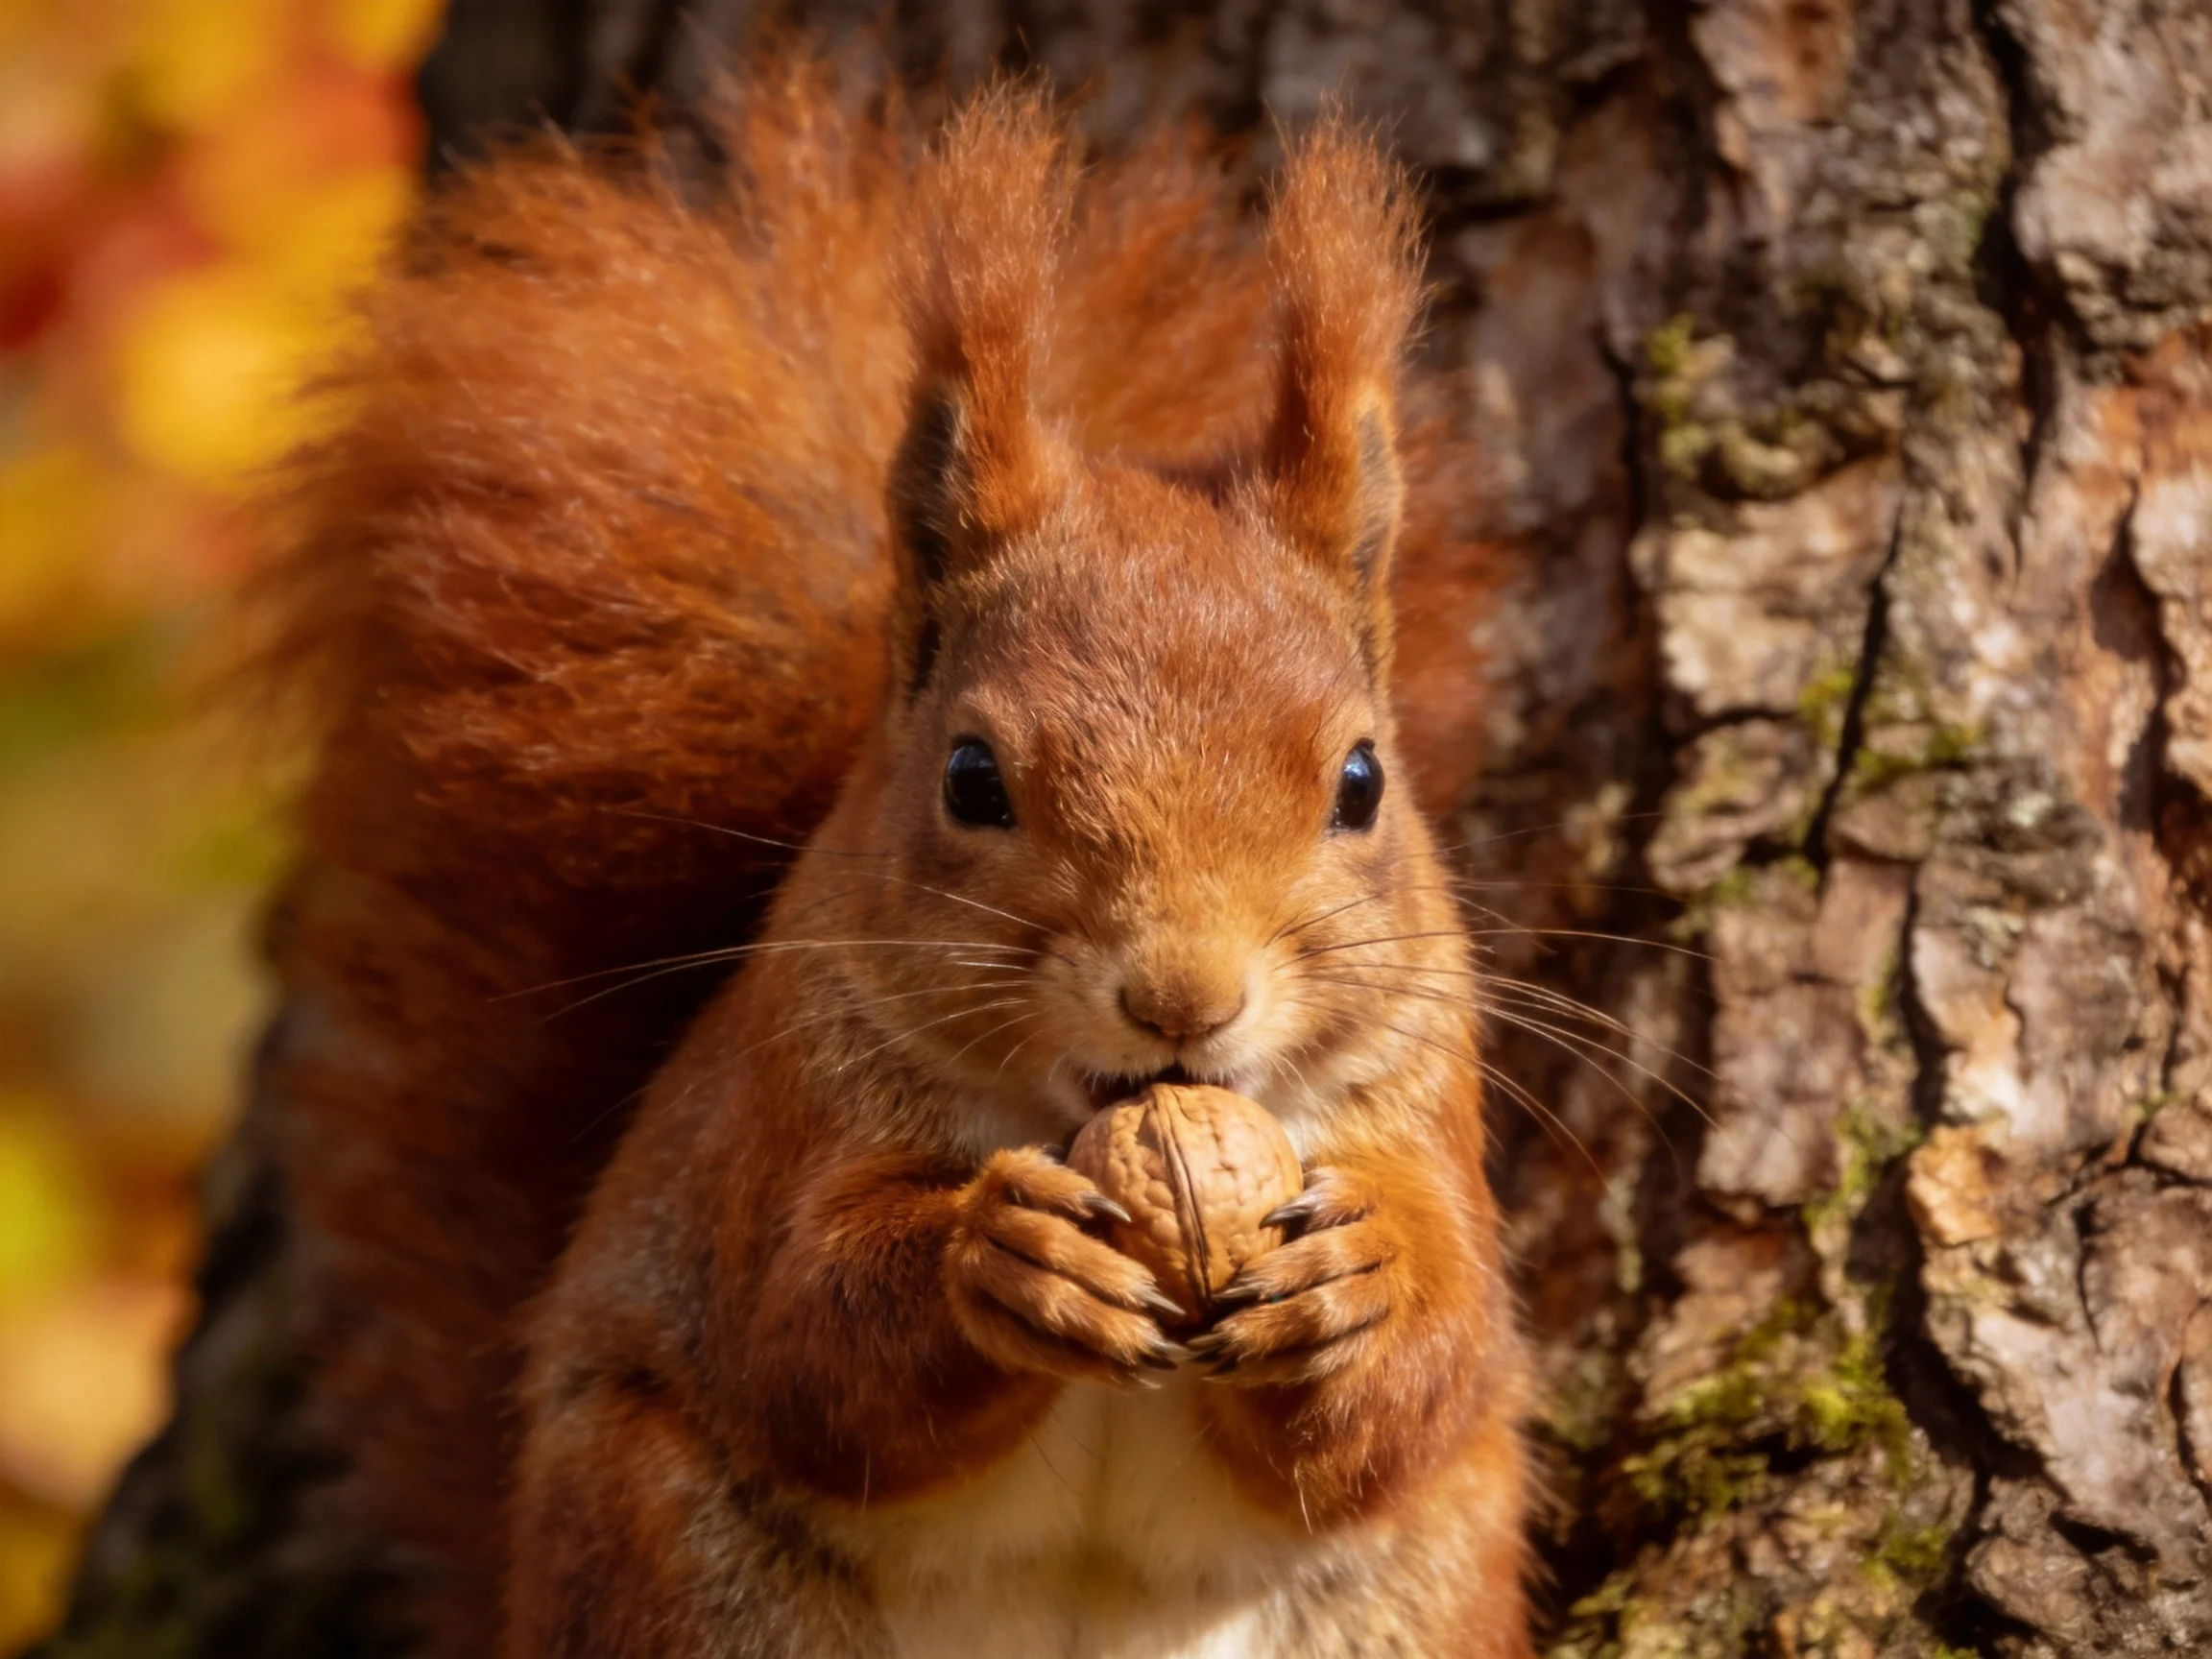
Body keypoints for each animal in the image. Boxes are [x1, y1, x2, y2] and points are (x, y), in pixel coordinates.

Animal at [250, 53, 1526, 1659]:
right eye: (973, 778)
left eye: (1362, 782)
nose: (1183, 999)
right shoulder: (776, 1116)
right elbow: (805, 1342)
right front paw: (1002, 1259)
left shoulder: (1428, 1108)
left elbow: (1434, 1368)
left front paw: (1363, 1285)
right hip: (676, 1552)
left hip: (1417, 1590)